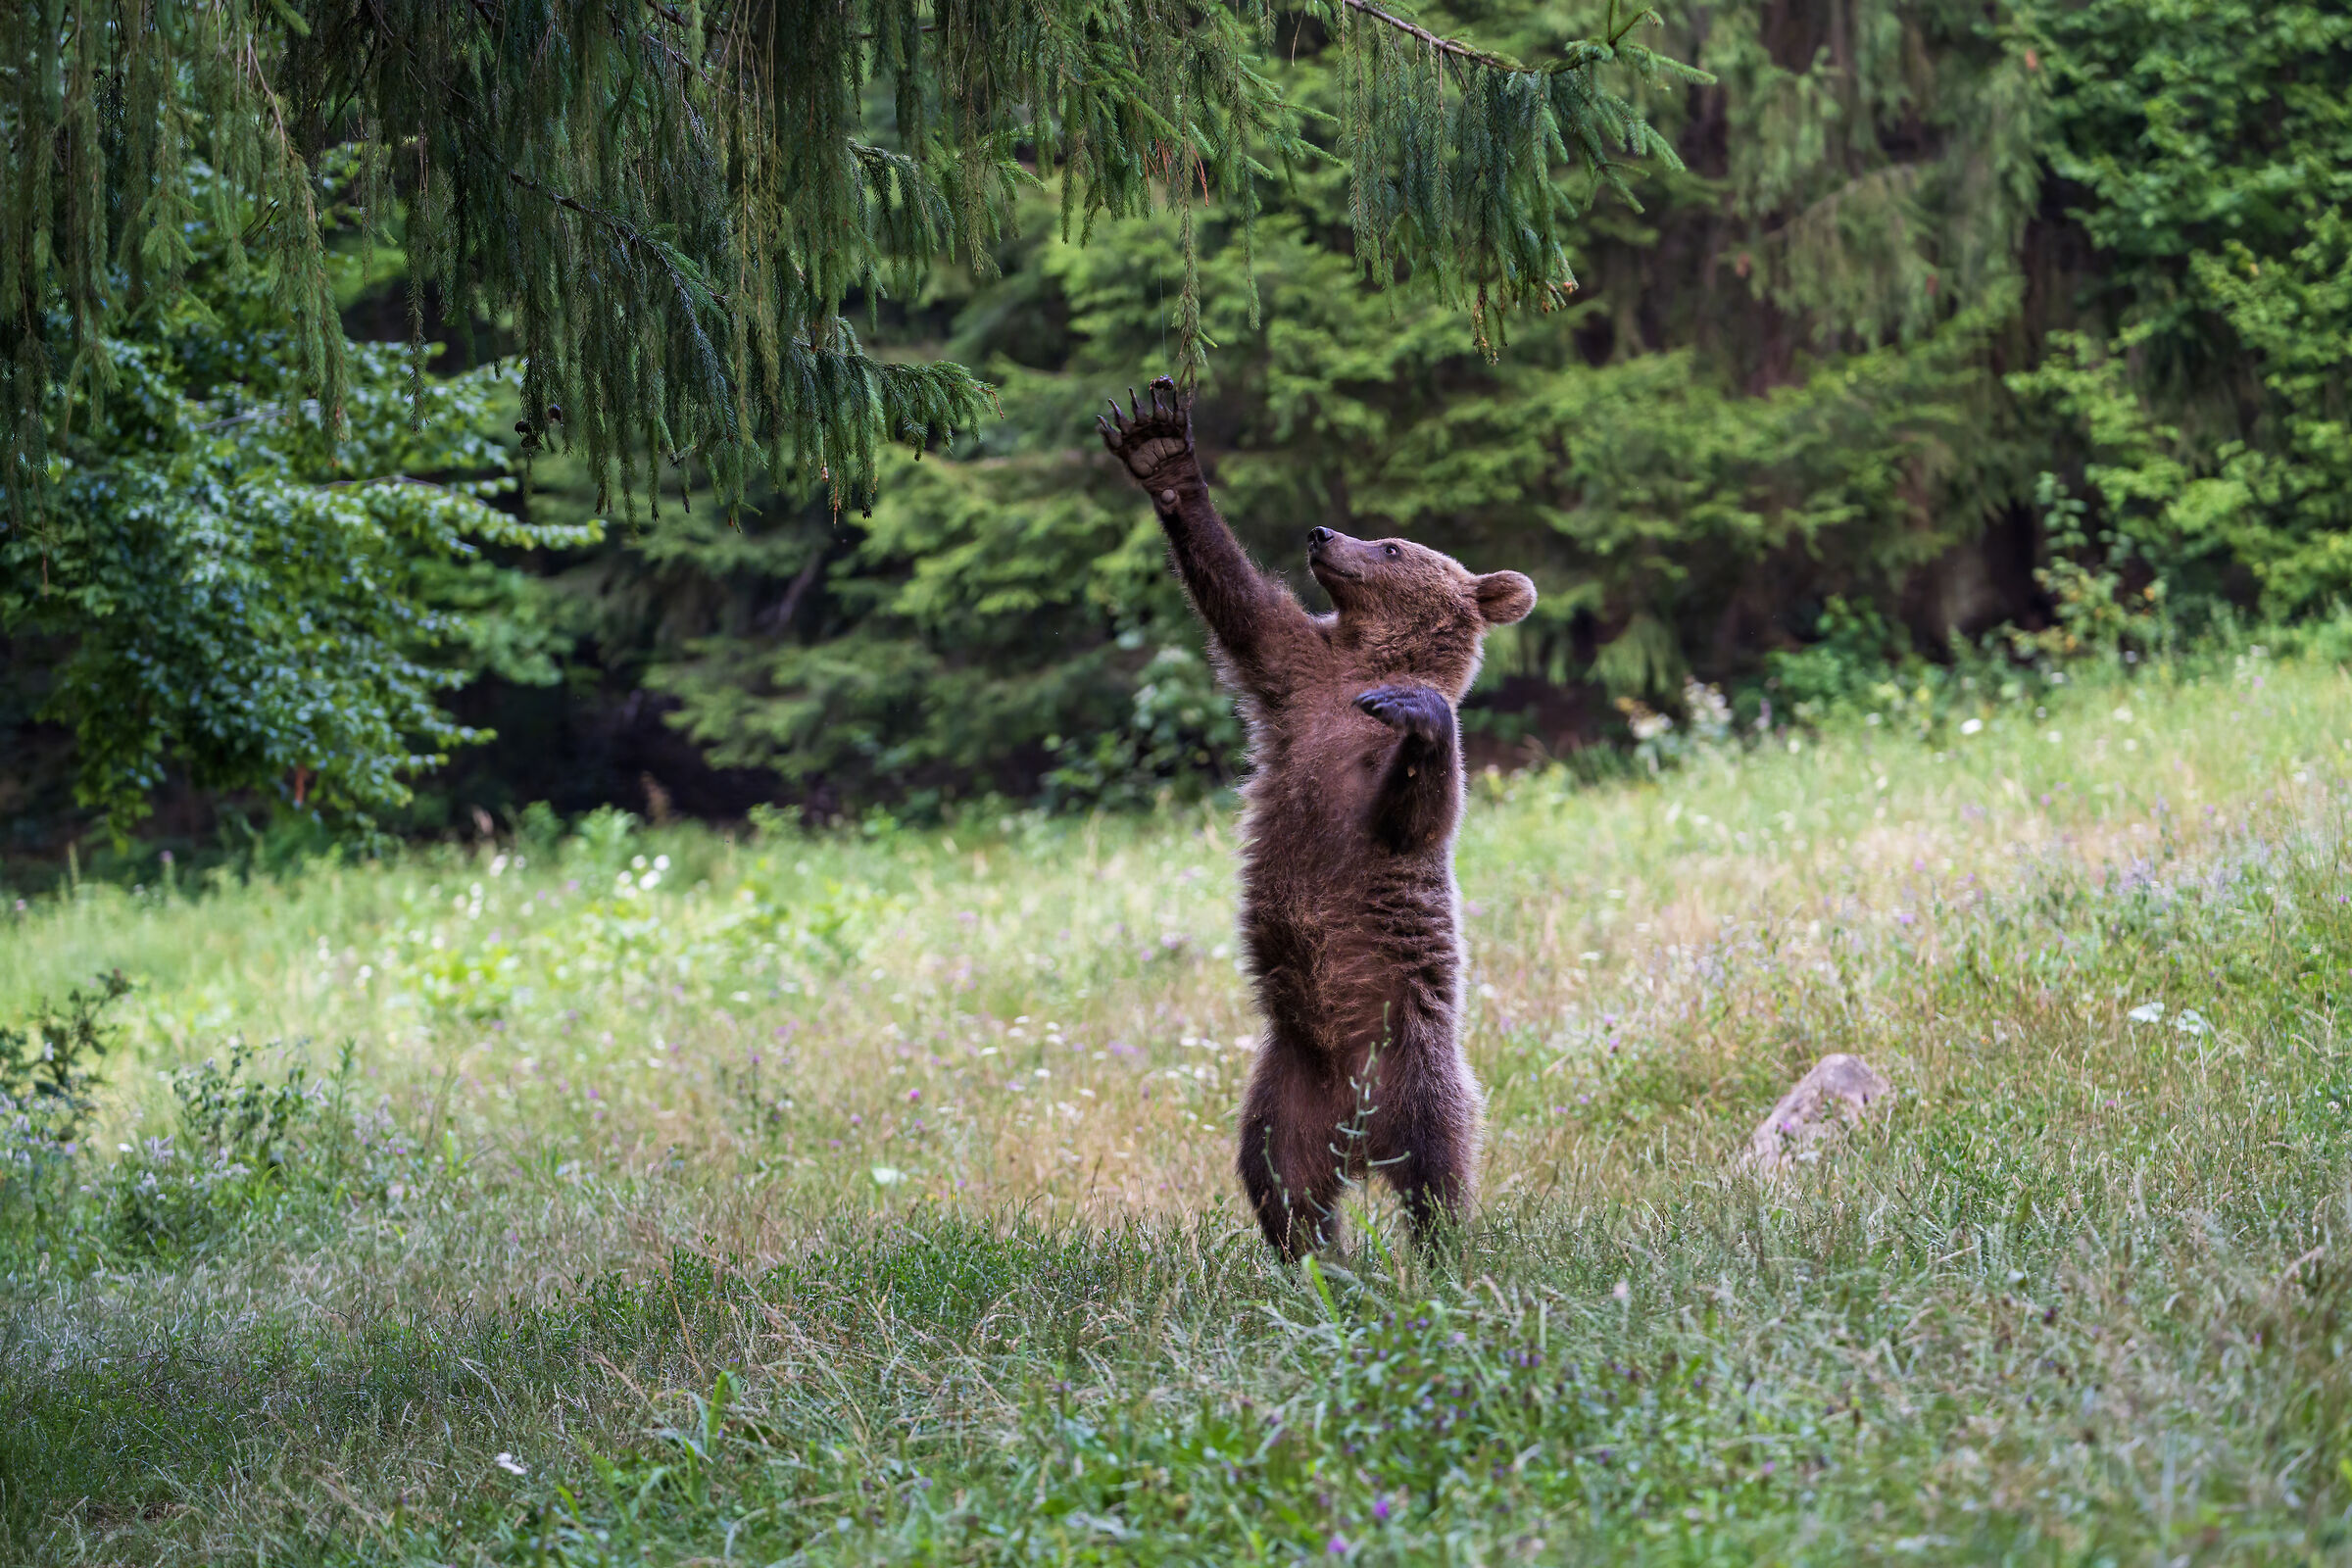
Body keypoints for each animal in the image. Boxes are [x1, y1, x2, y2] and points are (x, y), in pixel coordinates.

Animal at [1098, 377, 1536, 1258]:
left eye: (1394, 547)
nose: (1323, 532)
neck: (1366, 661)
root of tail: (1359, 1135)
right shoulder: (1296, 675)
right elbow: (1236, 600)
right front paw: (1160, 449)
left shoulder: (1388, 766)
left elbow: (1417, 814)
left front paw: (1415, 717)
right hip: (1281, 1094)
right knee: (1281, 1184)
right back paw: (1317, 1260)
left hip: (1419, 1065)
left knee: (1439, 1168)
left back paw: (1439, 1251)